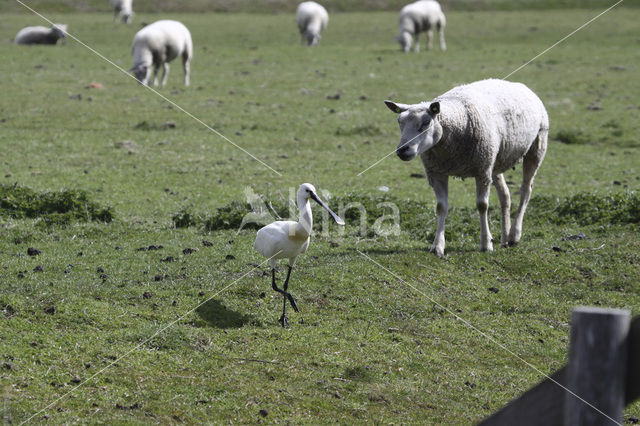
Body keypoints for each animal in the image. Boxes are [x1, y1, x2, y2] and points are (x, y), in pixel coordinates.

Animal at [384, 78, 552, 258]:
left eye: (426, 122)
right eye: (399, 122)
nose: (402, 150)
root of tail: (519, 85)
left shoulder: (482, 171)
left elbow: (482, 205)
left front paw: (486, 244)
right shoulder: (437, 173)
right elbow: (441, 207)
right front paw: (437, 246)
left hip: (536, 147)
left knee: (526, 190)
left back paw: (514, 234)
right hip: (494, 161)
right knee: (505, 196)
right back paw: (505, 238)